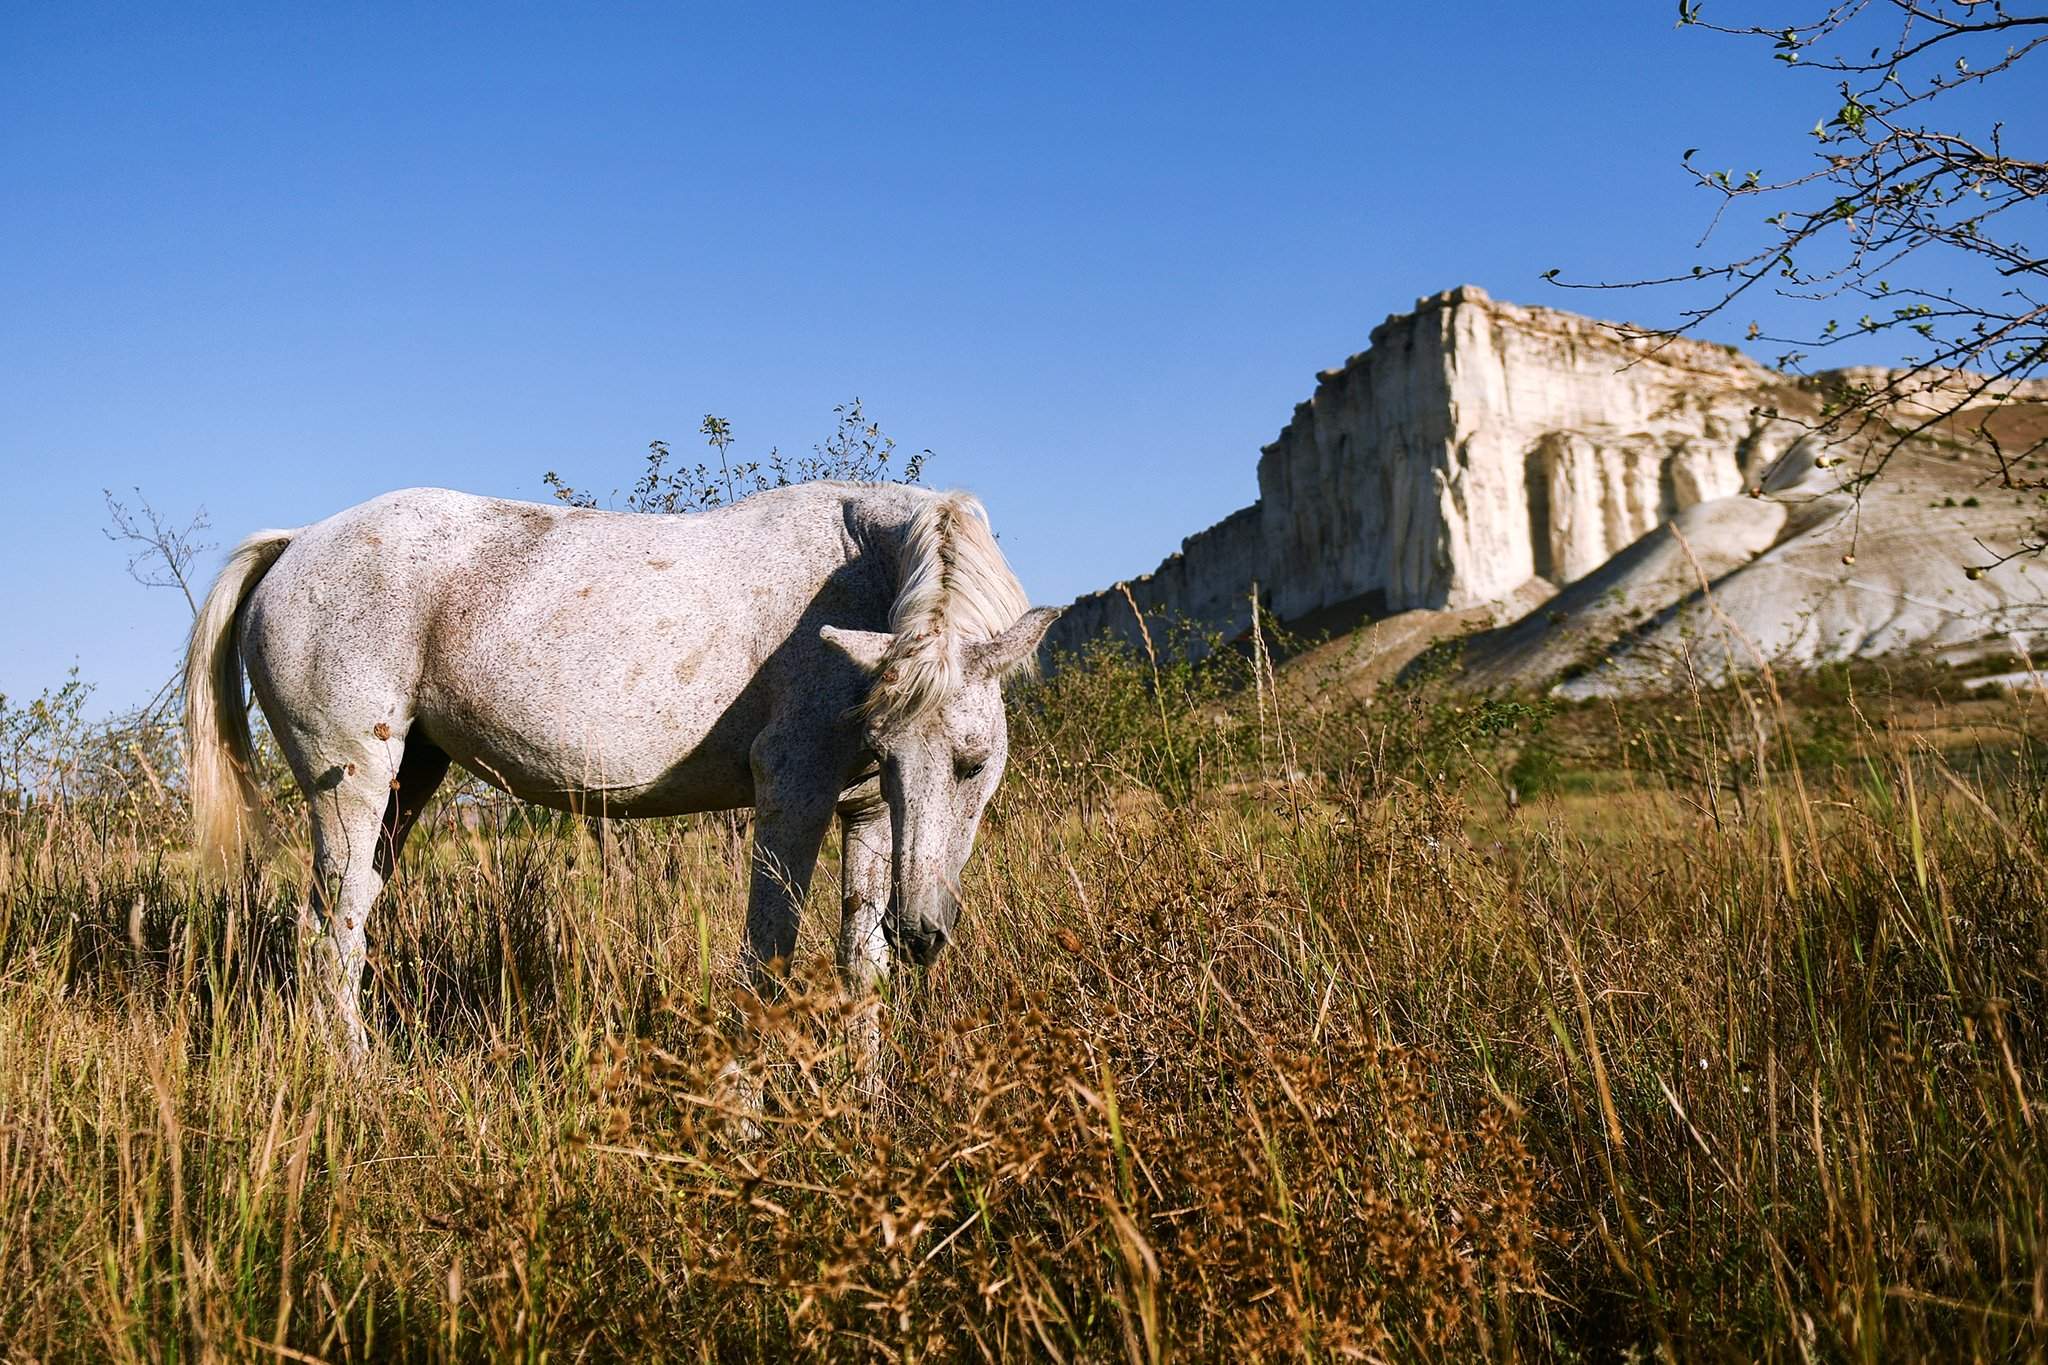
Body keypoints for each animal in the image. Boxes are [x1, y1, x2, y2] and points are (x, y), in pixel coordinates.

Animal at [184, 485, 1064, 1055]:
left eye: (970, 763)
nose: (922, 933)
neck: (860, 568)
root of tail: (298, 540)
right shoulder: (793, 800)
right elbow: (765, 964)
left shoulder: (867, 816)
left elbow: (861, 969)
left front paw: (868, 1106)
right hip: (353, 787)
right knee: (331, 932)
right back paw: (357, 1075)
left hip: (410, 783)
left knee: (346, 915)